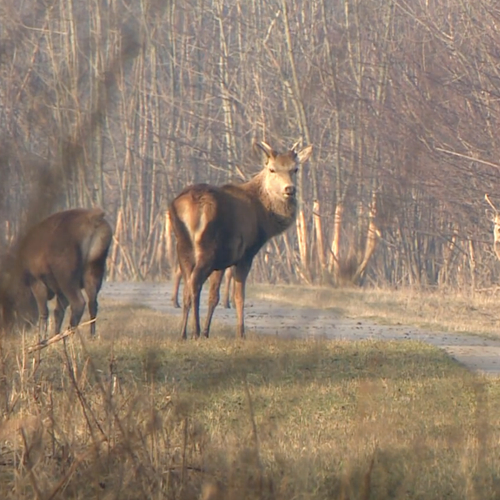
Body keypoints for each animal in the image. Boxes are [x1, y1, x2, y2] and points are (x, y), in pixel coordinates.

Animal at [6, 207, 112, 340]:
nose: (12, 330)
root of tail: (95, 219)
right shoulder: (58, 290)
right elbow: (58, 312)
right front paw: (54, 333)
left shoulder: (37, 280)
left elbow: (44, 312)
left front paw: (42, 338)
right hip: (94, 268)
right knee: (92, 304)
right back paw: (90, 336)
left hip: (66, 274)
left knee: (78, 302)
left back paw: (68, 335)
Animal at [170, 139, 314, 338]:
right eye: (272, 169)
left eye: (295, 169)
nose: (289, 189)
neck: (264, 219)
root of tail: (190, 206)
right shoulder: (246, 253)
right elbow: (239, 296)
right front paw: (240, 333)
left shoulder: (222, 260)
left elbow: (214, 296)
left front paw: (208, 332)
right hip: (207, 248)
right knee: (195, 283)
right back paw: (195, 331)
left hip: (183, 246)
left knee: (186, 286)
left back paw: (183, 333)